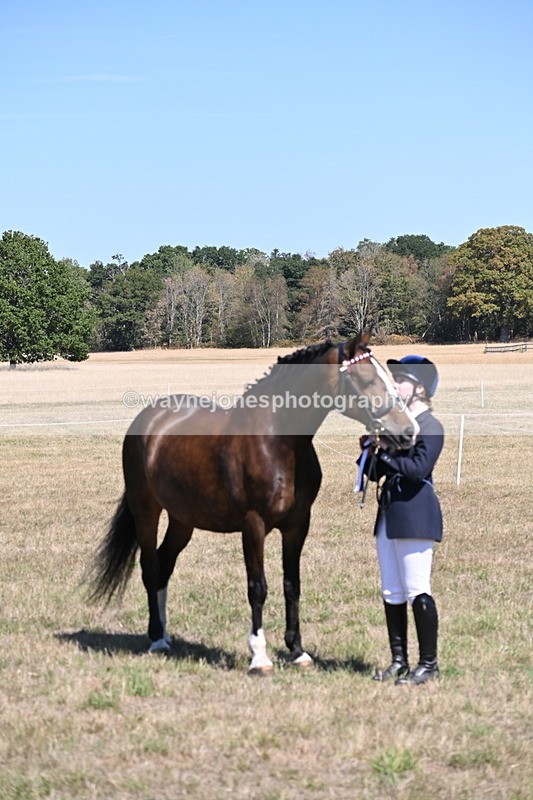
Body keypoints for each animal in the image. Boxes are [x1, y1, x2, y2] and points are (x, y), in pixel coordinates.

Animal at [89, 332, 417, 673]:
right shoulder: (253, 525)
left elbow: (292, 584)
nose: (408, 432)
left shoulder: (298, 525)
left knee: (165, 564)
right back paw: (155, 637)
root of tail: (149, 418)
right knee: (150, 567)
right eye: (366, 379)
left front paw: (297, 650)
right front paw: (259, 656)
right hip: (146, 509)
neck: (278, 441)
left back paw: (165, 634)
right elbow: (257, 587)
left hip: (183, 518)